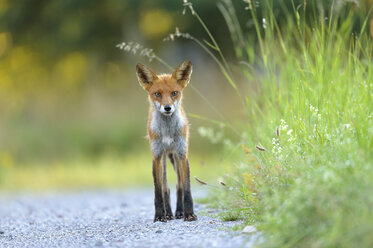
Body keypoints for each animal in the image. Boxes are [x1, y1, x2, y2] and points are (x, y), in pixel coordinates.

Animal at [135, 61, 196, 222]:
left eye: (174, 93)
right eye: (157, 94)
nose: (167, 108)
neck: (168, 132)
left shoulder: (182, 154)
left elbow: (186, 188)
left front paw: (189, 214)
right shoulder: (156, 155)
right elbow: (158, 191)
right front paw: (159, 215)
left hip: (175, 158)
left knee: (178, 185)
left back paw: (179, 211)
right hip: (163, 159)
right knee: (166, 188)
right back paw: (168, 212)